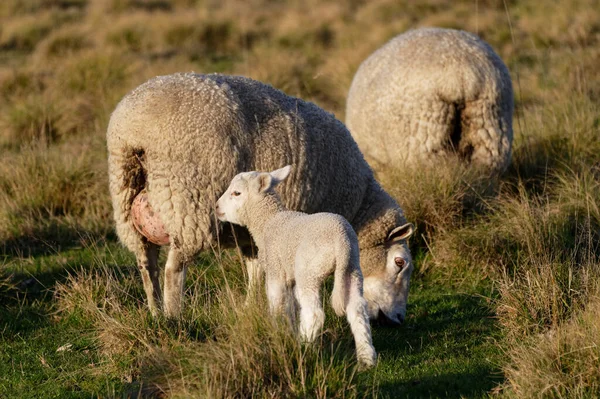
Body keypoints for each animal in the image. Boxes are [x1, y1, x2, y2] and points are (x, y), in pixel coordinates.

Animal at [108, 73, 414, 326]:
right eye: (400, 263)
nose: (397, 319)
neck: (359, 206)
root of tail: (132, 129)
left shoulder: (253, 234)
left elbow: (255, 271)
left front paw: (250, 307)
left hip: (127, 195)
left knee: (146, 264)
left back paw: (156, 312)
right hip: (188, 203)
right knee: (173, 269)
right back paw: (174, 316)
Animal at [214, 166, 380, 368]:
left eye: (236, 193)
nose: (216, 207)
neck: (268, 221)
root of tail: (341, 241)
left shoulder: (275, 270)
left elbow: (276, 303)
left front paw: (278, 332)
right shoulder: (289, 276)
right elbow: (290, 306)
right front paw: (289, 332)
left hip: (309, 270)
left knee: (314, 313)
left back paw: (304, 347)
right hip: (352, 269)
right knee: (357, 309)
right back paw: (367, 359)